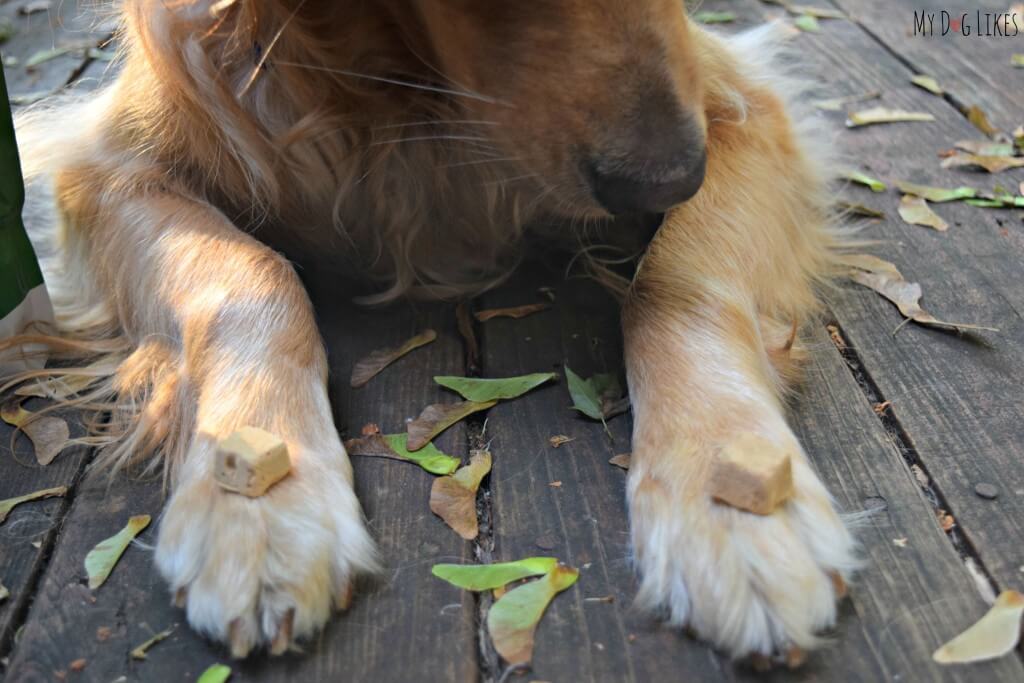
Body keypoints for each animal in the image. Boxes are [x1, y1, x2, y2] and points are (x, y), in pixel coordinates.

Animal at [8, 0, 856, 663]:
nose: (672, 179)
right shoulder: (113, 163)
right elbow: (248, 274)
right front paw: (262, 499)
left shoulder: (746, 106)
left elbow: (675, 276)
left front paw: (727, 485)